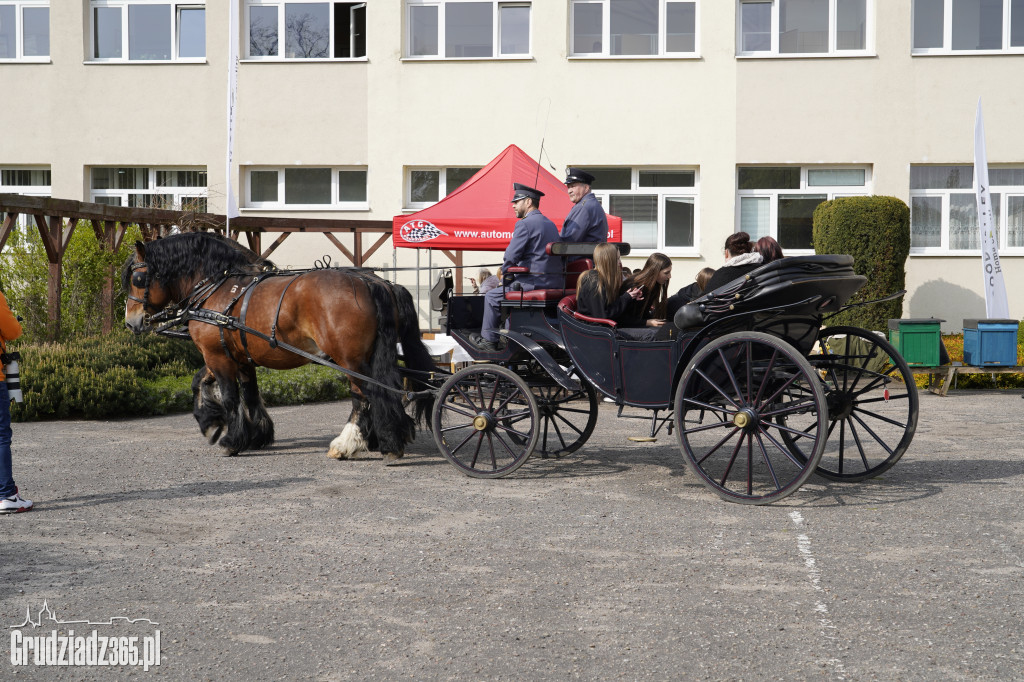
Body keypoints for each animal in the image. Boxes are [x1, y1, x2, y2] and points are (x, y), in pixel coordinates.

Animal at [123, 231, 436, 458]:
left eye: (138, 277)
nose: (130, 322)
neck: (217, 288)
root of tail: (372, 282)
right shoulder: (237, 357)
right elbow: (231, 389)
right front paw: (232, 428)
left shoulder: (217, 355)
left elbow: (229, 396)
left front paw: (230, 439)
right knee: (381, 394)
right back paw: (381, 437)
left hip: (350, 360)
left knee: (366, 396)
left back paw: (352, 443)